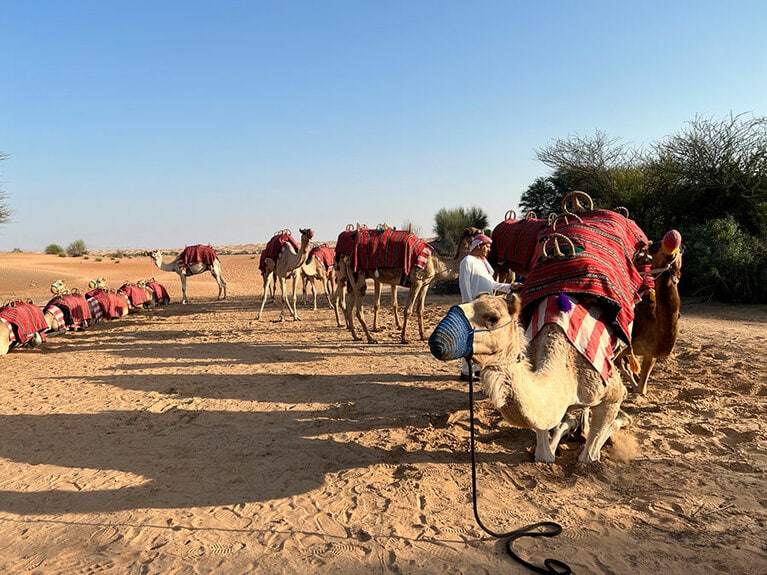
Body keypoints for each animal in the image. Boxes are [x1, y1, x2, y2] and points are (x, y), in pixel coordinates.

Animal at [344, 226, 480, 344]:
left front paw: (423, 335)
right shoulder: (416, 282)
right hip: (358, 275)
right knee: (359, 305)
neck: (437, 264)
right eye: (477, 232)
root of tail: (348, 259)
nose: (485, 240)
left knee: (349, 308)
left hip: (353, 279)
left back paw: (356, 336)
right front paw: (404, 338)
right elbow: (408, 310)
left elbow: (420, 310)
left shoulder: (425, 284)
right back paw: (371, 338)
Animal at [432, 294, 632, 466]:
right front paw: (567, 428)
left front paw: (612, 425)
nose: (438, 339)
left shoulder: (611, 391)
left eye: (493, 318)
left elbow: (588, 456)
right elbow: (544, 451)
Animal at [616, 230, 684, 396]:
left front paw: (635, 384)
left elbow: (642, 388)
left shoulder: (650, 354)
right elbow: (619, 362)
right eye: (654, 247)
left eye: (682, 249)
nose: (672, 241)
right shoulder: (630, 345)